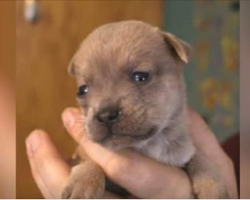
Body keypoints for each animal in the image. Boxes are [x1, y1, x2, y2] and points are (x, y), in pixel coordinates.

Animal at [62, 20, 229, 198]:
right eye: (82, 90)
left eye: (140, 76)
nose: (106, 115)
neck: (149, 145)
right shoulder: (82, 153)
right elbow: (88, 158)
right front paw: (84, 181)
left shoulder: (182, 152)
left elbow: (197, 156)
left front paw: (212, 184)